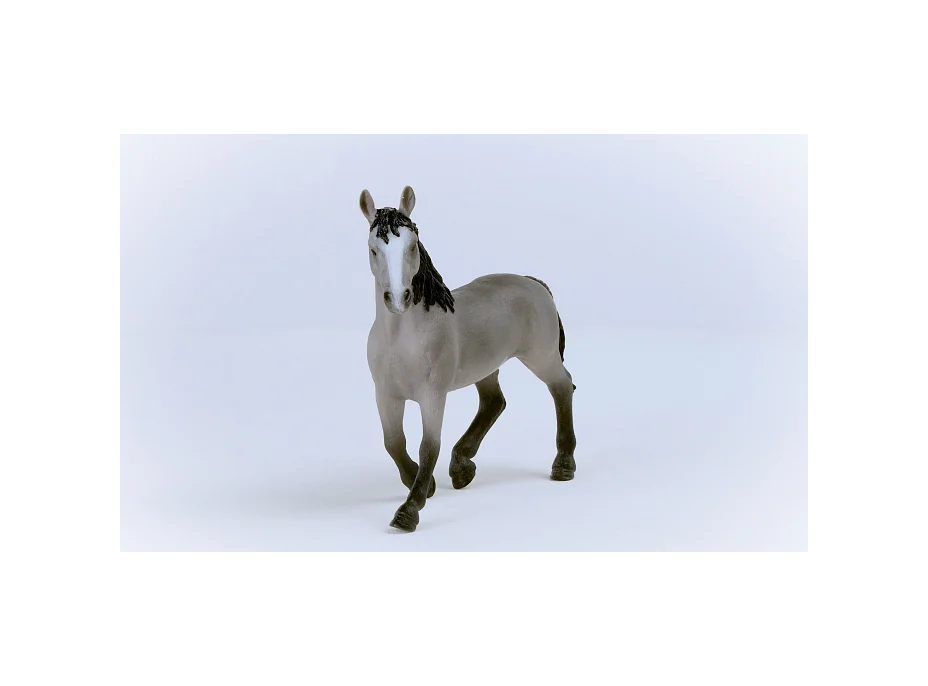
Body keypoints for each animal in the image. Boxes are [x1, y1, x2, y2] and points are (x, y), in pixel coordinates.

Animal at [362, 186, 577, 532]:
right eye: (373, 250)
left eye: (412, 245)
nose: (398, 299)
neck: (402, 339)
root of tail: (534, 284)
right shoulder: (386, 396)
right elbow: (393, 442)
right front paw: (423, 484)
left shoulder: (432, 397)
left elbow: (428, 446)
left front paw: (409, 510)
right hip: (486, 368)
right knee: (494, 402)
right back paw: (462, 467)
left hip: (541, 357)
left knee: (562, 387)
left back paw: (563, 464)